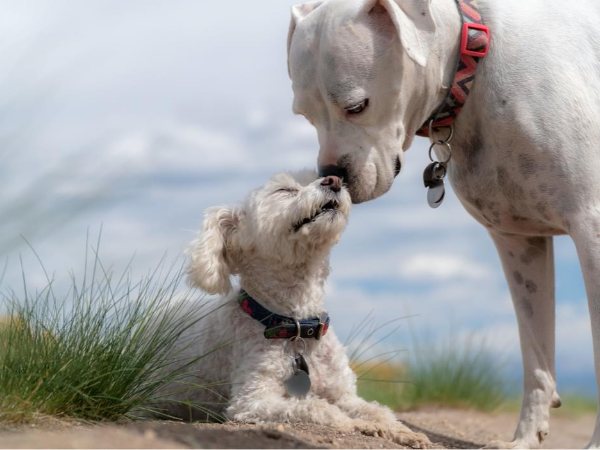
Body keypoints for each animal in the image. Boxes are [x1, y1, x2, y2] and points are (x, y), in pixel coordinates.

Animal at [158, 171, 432, 448]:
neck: (297, 325)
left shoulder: (344, 394)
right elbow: (320, 408)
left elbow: (378, 410)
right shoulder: (252, 401)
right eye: (284, 190)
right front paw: (359, 425)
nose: (333, 179)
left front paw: (404, 432)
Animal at [284, 0, 600, 448]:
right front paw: (524, 438)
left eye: (356, 106)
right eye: (305, 115)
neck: (475, 60)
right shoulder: (519, 242)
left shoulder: (591, 229)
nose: (331, 176)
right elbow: (536, 354)